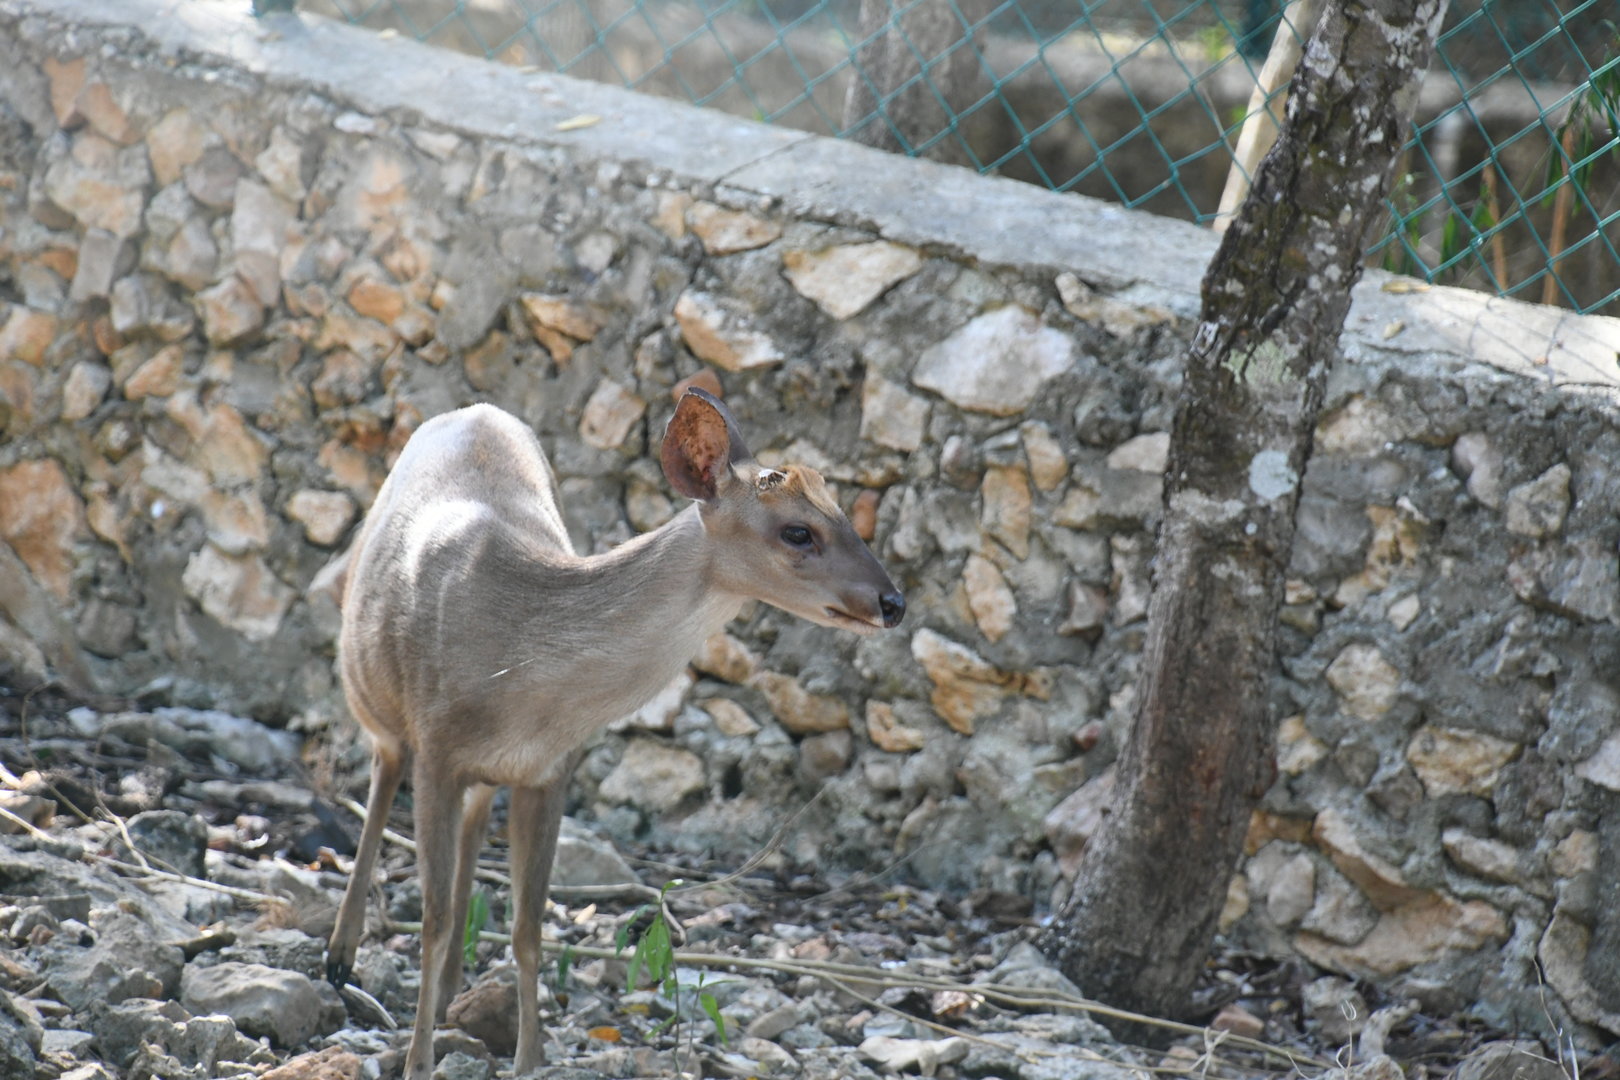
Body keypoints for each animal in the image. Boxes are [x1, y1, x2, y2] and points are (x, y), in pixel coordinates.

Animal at [324, 387, 905, 1079]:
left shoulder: (552, 769)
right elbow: (434, 918)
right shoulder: (437, 746)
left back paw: (445, 993)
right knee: (383, 774)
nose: (893, 603)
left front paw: (530, 1059)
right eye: (798, 531)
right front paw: (417, 1063)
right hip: (370, 689)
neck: (514, 670)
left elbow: (528, 926)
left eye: (844, 513)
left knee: (473, 820)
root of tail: (477, 408)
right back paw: (341, 957)